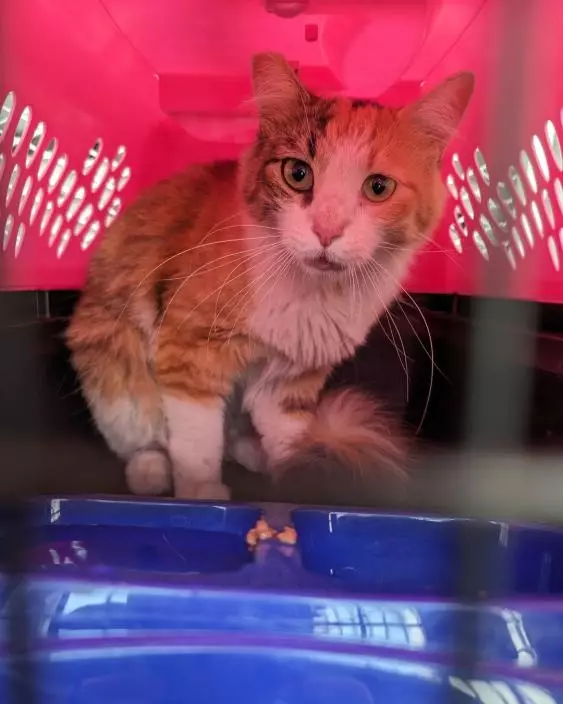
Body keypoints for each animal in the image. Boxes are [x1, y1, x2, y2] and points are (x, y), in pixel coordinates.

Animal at [66, 53, 474, 502]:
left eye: (379, 187)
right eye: (298, 174)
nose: (326, 230)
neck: (312, 294)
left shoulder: (291, 379)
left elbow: (287, 439)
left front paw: (295, 475)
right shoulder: (187, 348)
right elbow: (196, 442)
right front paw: (199, 493)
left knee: (234, 437)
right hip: (114, 367)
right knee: (148, 437)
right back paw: (152, 473)